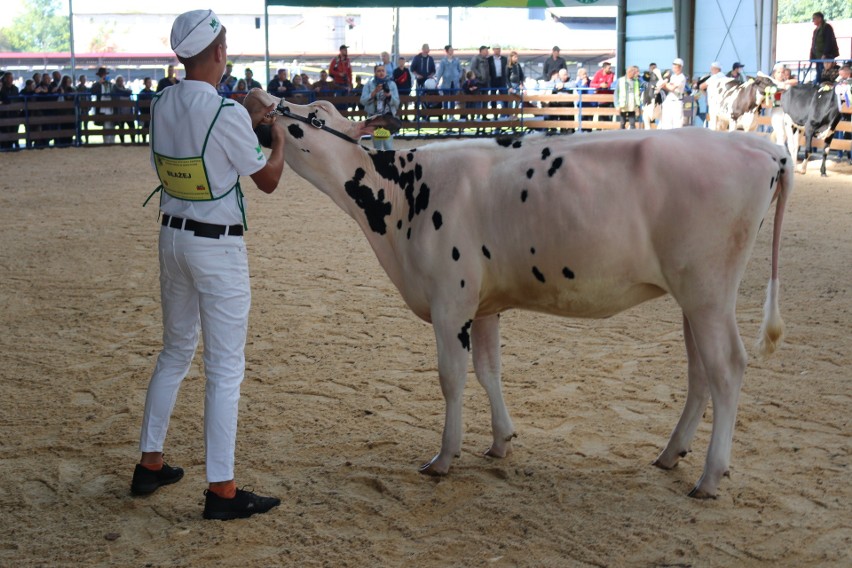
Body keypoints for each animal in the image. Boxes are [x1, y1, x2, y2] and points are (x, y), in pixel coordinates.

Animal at [245, 91, 792, 500]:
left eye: (314, 117)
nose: (258, 95)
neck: (403, 196)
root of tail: (763, 148)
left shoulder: (450, 302)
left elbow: (451, 378)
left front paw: (444, 457)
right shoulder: (484, 306)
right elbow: (489, 371)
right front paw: (500, 442)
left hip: (708, 289)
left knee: (727, 367)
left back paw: (710, 476)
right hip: (692, 296)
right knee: (700, 372)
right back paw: (671, 454)